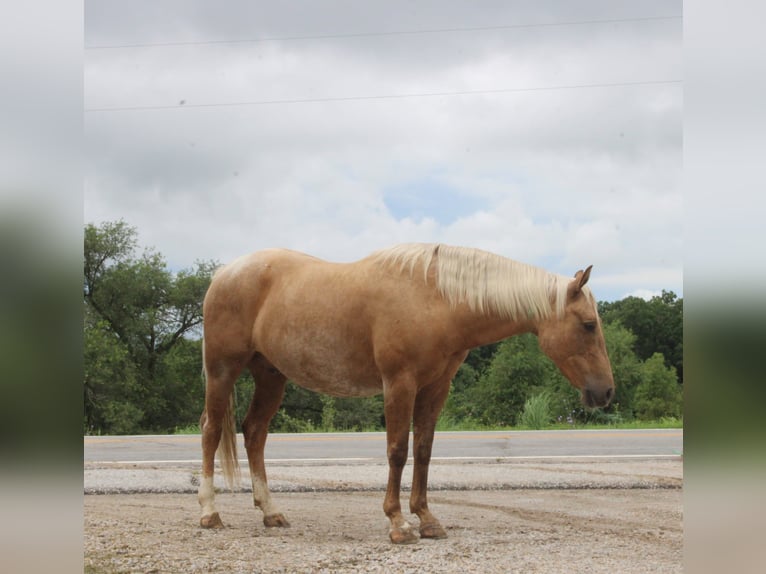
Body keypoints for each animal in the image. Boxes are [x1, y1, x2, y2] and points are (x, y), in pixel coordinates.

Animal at [197, 243, 615, 544]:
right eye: (588, 325)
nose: (606, 392)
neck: (437, 300)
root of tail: (224, 274)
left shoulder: (435, 387)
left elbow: (424, 450)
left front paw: (427, 520)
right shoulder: (399, 383)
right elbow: (397, 451)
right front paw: (398, 523)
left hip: (271, 377)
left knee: (254, 433)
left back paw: (270, 512)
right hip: (222, 372)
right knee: (211, 431)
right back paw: (209, 512)